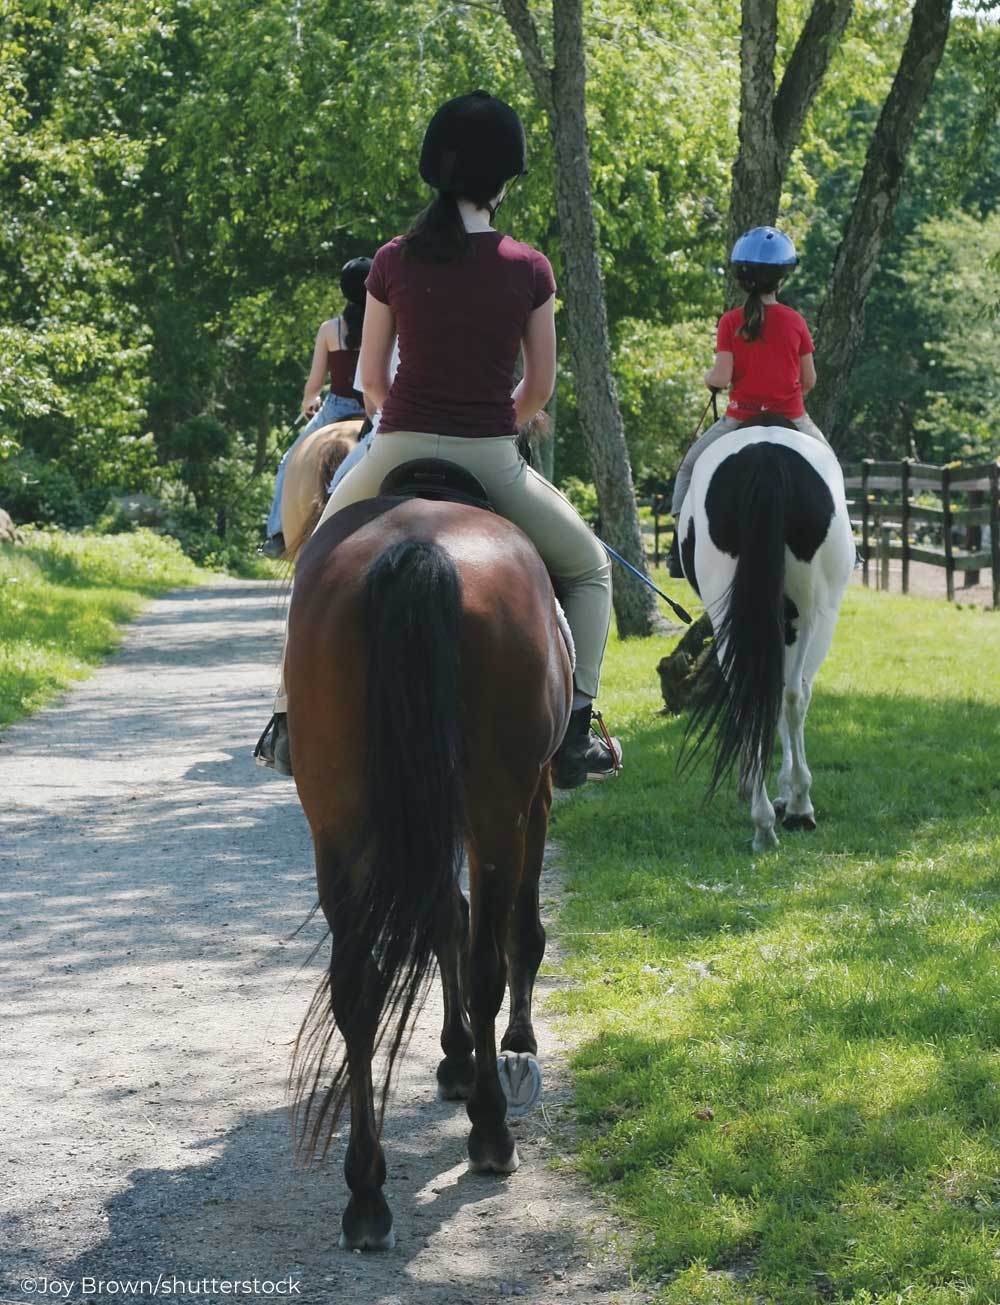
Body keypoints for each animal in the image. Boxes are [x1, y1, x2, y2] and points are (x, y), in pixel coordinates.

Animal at [285, 493, 574, 1247]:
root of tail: (418, 548)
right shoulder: (533, 796)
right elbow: (515, 931)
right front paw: (507, 1050)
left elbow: (445, 914)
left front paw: (456, 1055)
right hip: (498, 804)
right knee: (487, 962)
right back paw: (492, 1133)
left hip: (336, 819)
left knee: (357, 987)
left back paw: (366, 1195)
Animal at [673, 412, 856, 850]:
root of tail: (766, 460)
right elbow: (794, 695)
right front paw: (790, 792)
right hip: (814, 613)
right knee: (791, 695)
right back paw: (794, 809)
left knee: (757, 693)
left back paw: (764, 819)